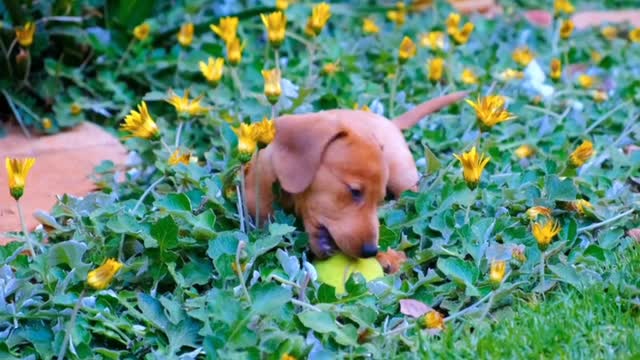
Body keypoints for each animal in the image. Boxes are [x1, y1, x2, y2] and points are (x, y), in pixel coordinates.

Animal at [242, 90, 468, 258]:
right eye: (354, 191)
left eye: (379, 200)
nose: (371, 251)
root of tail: (389, 122)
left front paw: (388, 258)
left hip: (402, 175)